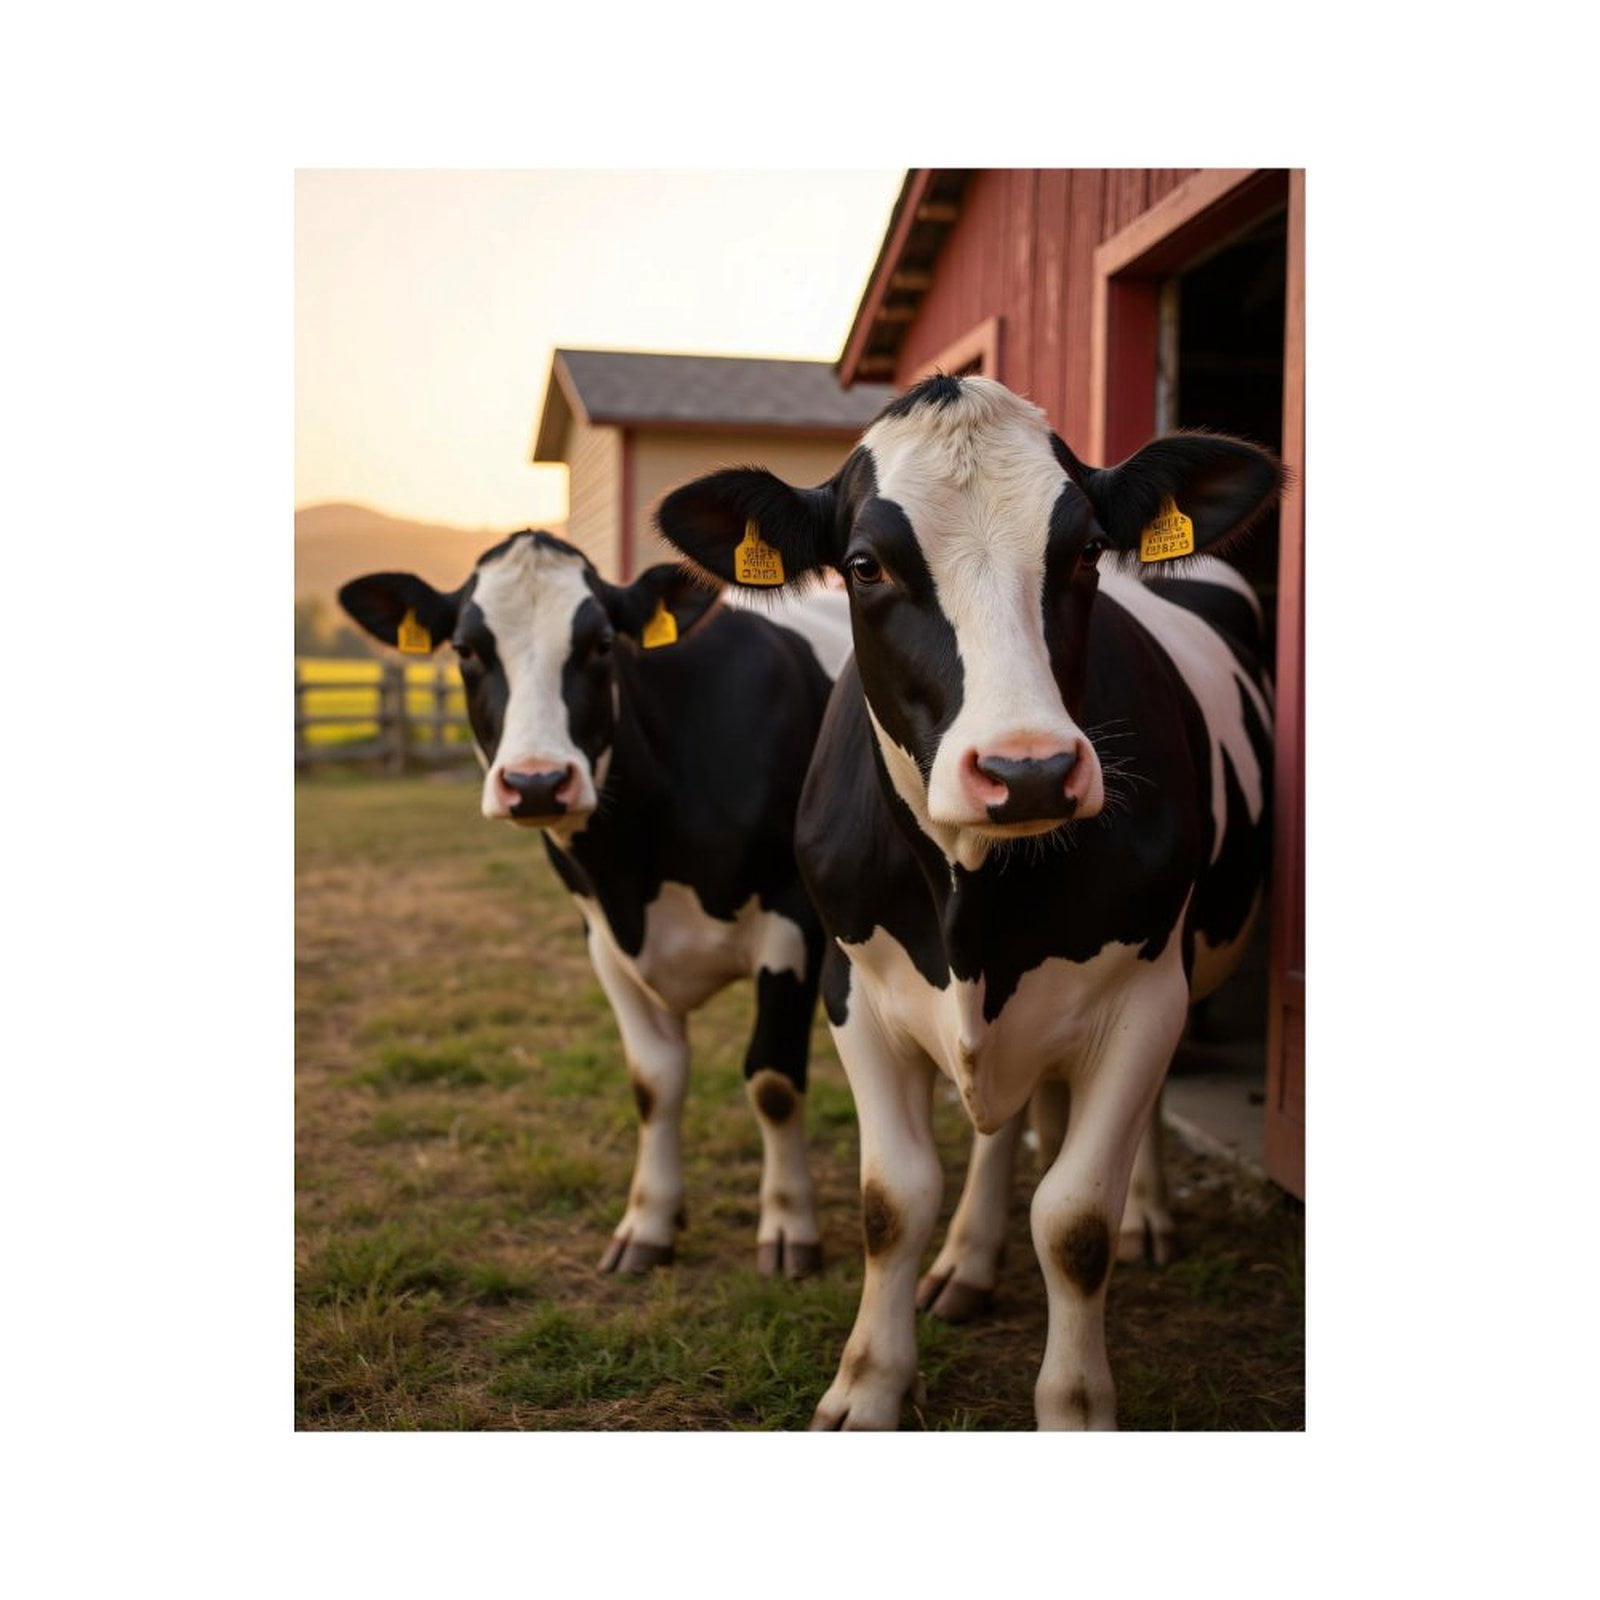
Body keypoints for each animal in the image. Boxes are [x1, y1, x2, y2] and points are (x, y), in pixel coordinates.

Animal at [338, 531, 846, 1278]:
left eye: (602, 643)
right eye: (466, 649)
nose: (536, 783)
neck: (640, 862)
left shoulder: (793, 919)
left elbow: (773, 1081)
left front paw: (788, 1228)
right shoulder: (605, 937)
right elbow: (653, 1082)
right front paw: (649, 1223)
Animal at [656, 374, 1280, 1428]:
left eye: (1084, 551)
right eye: (863, 565)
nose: (1028, 771)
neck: (974, 894)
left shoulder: (1143, 994)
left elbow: (1075, 1220)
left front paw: (1076, 1405)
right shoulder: (854, 986)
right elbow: (893, 1201)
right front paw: (867, 1386)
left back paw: (1148, 1213)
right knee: (1006, 1129)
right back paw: (969, 1263)